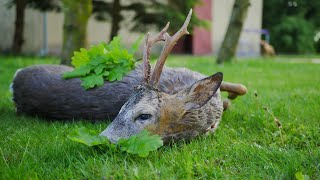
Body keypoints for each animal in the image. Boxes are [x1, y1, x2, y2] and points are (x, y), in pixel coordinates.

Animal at [11, 9, 248, 143]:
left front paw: (231, 97)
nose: (105, 140)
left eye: (143, 115)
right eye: (121, 109)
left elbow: (240, 86)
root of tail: (14, 81)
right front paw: (231, 100)